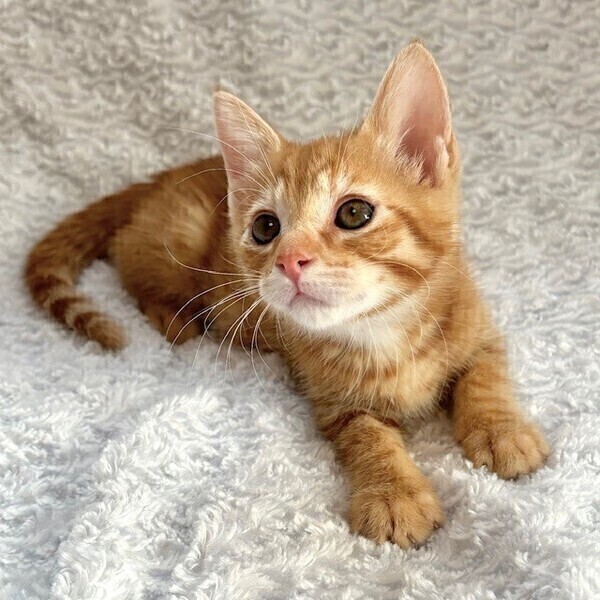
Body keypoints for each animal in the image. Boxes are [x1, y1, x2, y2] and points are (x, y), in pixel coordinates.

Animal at [26, 41, 549, 548]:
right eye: (266, 227)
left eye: (354, 213)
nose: (290, 260)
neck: (385, 328)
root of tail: (166, 175)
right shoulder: (332, 402)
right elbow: (367, 437)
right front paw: (393, 494)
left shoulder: (480, 329)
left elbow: (484, 377)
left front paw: (501, 432)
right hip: (177, 240)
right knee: (132, 267)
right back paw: (176, 319)